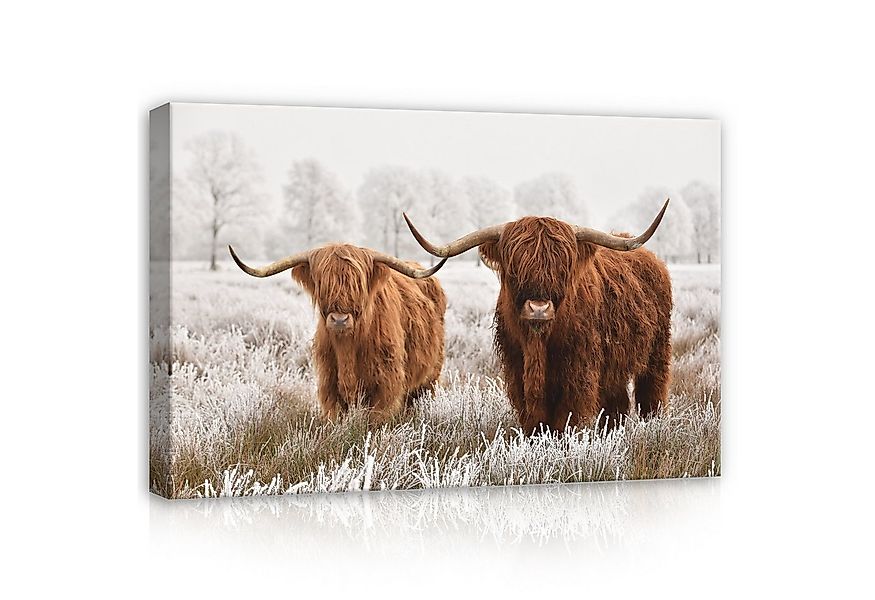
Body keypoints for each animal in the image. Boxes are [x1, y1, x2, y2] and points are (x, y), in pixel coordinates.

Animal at [229, 244, 448, 424]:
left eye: (357, 284)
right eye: (322, 283)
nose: (340, 320)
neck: (347, 347)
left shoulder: (386, 386)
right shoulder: (329, 385)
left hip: (430, 378)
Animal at [403, 200, 671, 433]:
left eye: (562, 267)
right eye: (514, 267)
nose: (539, 308)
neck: (538, 344)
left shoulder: (579, 372)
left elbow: (566, 419)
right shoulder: (516, 369)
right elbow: (534, 419)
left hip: (657, 352)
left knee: (651, 392)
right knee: (617, 403)